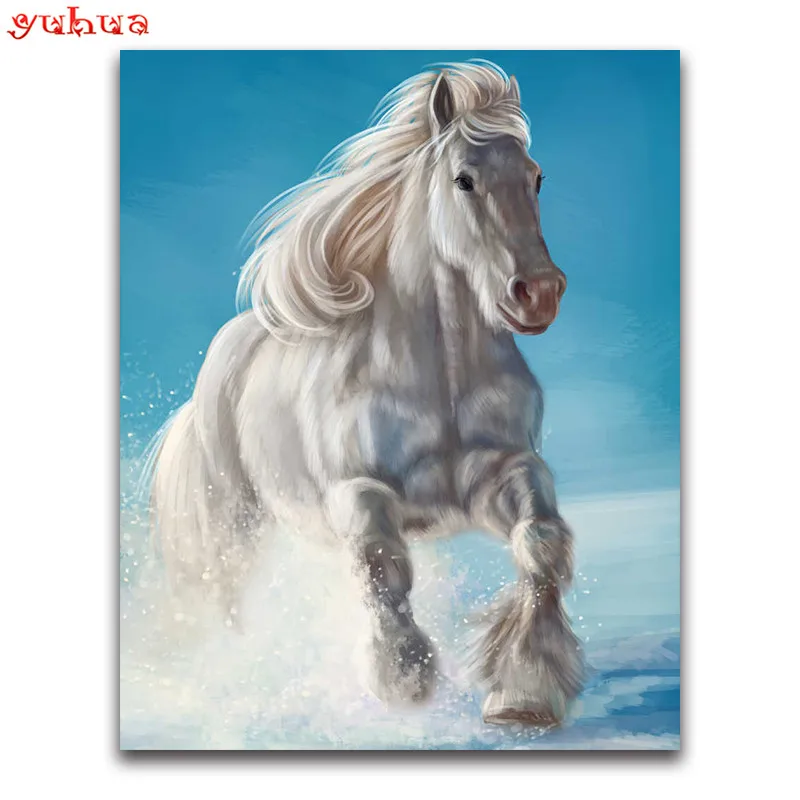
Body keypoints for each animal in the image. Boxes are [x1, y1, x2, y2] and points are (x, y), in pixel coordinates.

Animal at [146, 61, 585, 727]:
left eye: (536, 178)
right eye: (464, 179)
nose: (538, 293)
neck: (439, 379)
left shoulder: (500, 474)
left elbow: (541, 542)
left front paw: (524, 693)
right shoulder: (359, 492)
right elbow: (383, 566)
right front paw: (405, 680)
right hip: (234, 527)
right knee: (228, 605)